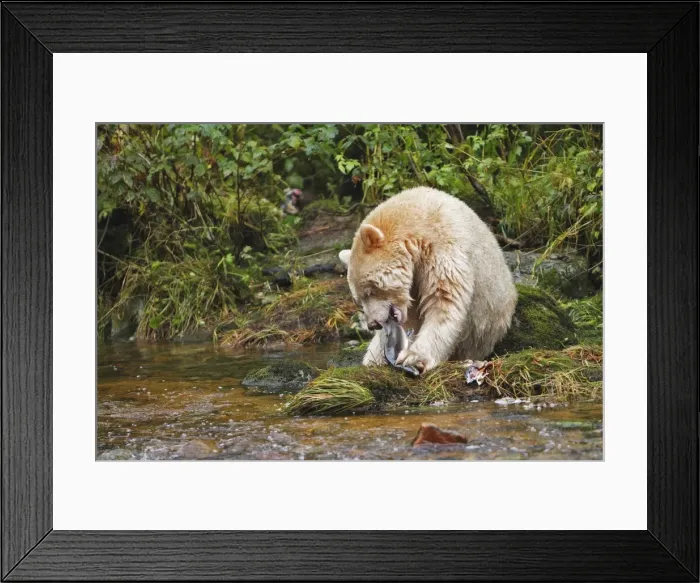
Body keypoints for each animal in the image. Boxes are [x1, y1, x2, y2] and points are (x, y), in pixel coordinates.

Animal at [338, 186, 517, 373]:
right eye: (358, 300)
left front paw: (413, 357)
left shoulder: (443, 247)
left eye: (370, 290)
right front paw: (379, 359)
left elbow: (444, 300)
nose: (373, 324)